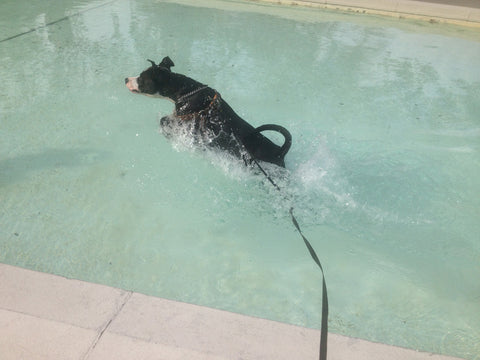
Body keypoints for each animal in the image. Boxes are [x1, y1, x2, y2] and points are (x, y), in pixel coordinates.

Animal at [124, 56, 290, 167]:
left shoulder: (186, 122)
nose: (126, 79)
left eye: (141, 79)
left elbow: (164, 120)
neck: (186, 91)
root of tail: (280, 151)